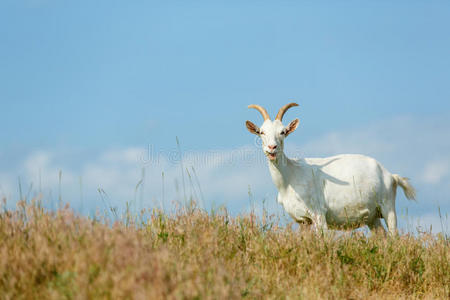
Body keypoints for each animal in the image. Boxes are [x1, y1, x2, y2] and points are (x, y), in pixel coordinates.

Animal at [246, 103, 414, 234]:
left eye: (283, 132)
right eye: (261, 132)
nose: (271, 148)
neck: (290, 178)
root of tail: (390, 175)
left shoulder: (319, 214)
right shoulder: (302, 221)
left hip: (388, 207)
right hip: (372, 217)